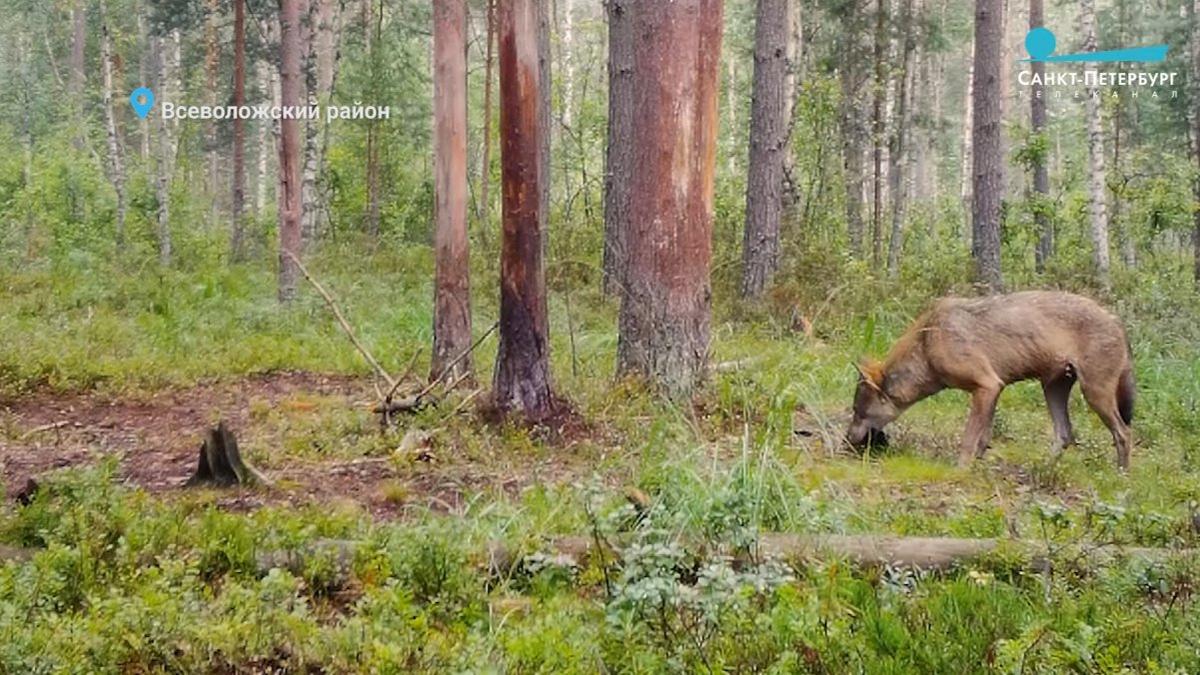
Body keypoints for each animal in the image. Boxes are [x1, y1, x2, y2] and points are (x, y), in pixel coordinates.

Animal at [844, 289, 1132, 468]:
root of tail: (1117, 321)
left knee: (1124, 433)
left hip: (1094, 395)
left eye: (857, 411)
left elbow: (969, 438)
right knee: (1065, 434)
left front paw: (960, 469)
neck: (928, 345)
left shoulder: (987, 386)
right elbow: (983, 438)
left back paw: (1121, 476)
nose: (846, 441)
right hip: (1052, 389)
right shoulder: (995, 389)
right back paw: (1042, 470)